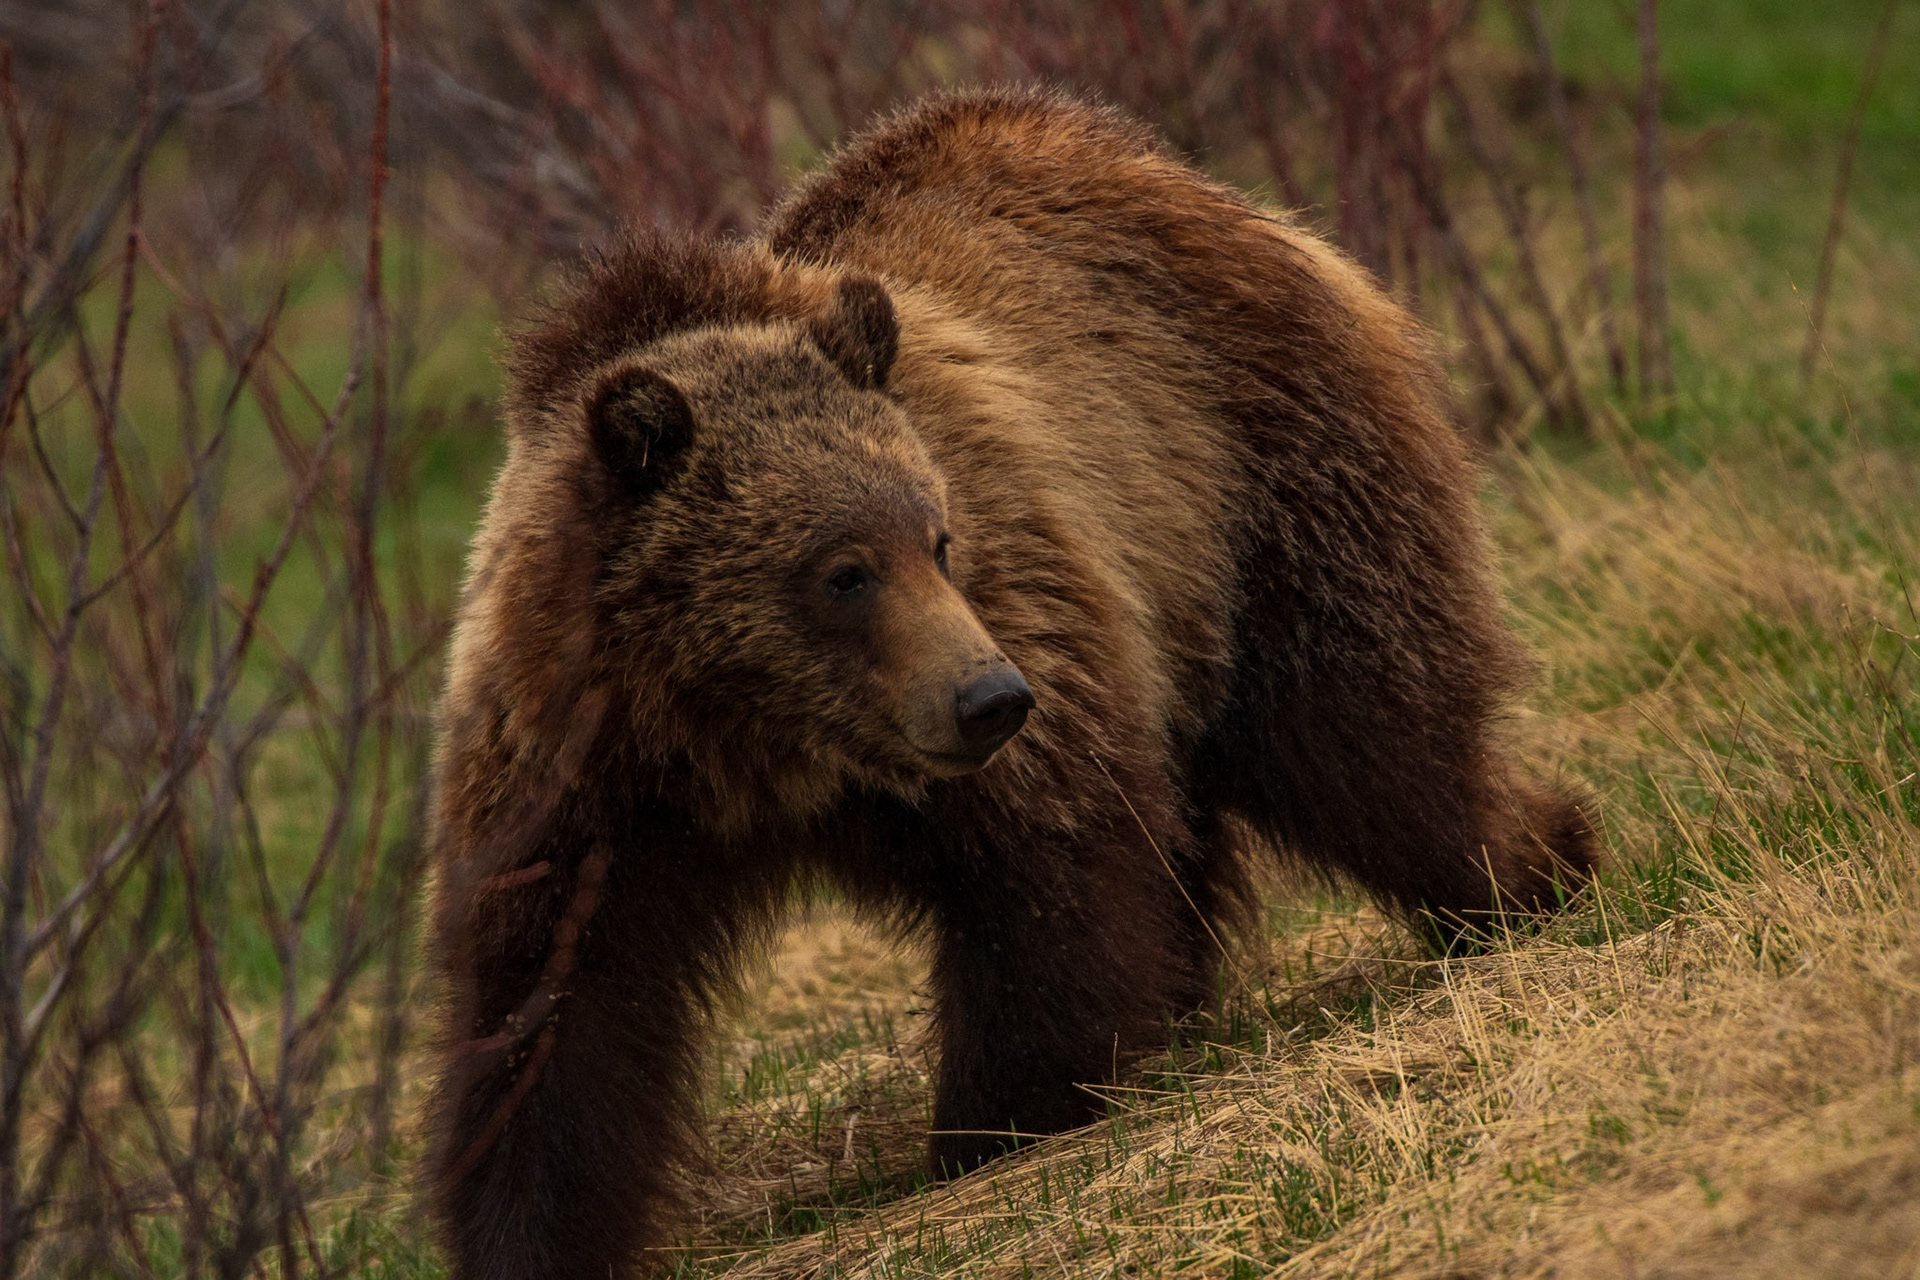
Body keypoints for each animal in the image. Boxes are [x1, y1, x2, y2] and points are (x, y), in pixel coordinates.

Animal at [423, 87, 1595, 1279]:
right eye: (842, 570)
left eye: (936, 539)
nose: (989, 698)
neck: (753, 742)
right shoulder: (584, 780)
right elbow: (552, 1014)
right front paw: (531, 1229)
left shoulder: (1024, 617)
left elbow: (1050, 871)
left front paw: (1004, 1119)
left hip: (1258, 485)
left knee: (1373, 734)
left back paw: (1534, 866)